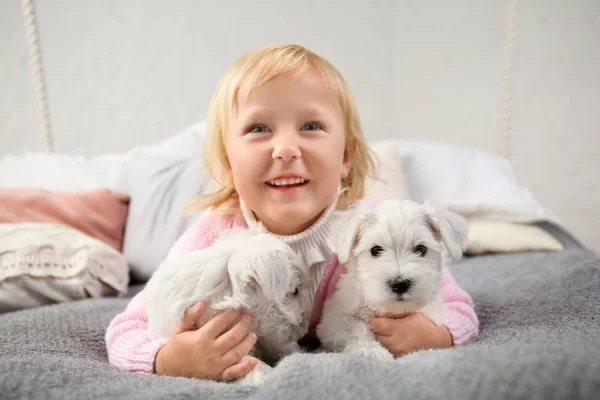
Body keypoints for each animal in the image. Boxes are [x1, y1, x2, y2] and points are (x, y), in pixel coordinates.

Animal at [316, 200, 466, 360]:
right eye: (375, 250)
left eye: (421, 249)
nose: (400, 284)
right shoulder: (333, 319)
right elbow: (355, 328)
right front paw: (370, 349)